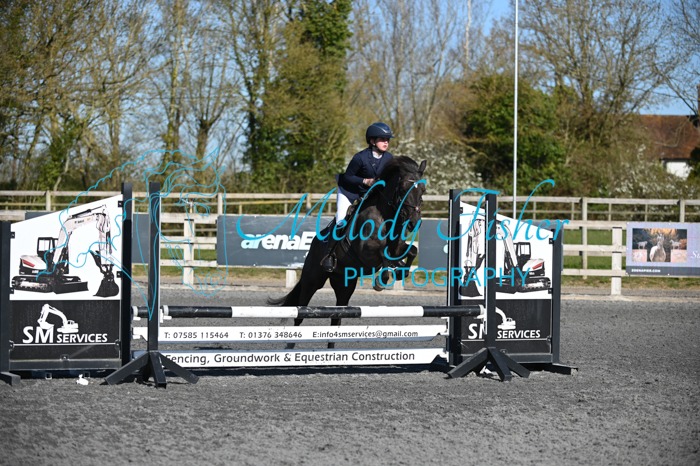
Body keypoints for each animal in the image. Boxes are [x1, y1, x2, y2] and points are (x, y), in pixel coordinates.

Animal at [267, 156, 427, 346]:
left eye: (423, 190)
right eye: (402, 188)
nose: (414, 223)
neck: (385, 216)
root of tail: (314, 244)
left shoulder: (397, 247)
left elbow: (412, 251)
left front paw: (401, 271)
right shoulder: (366, 252)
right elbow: (383, 255)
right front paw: (381, 280)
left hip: (345, 285)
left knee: (336, 318)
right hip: (311, 281)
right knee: (300, 315)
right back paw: (291, 345)